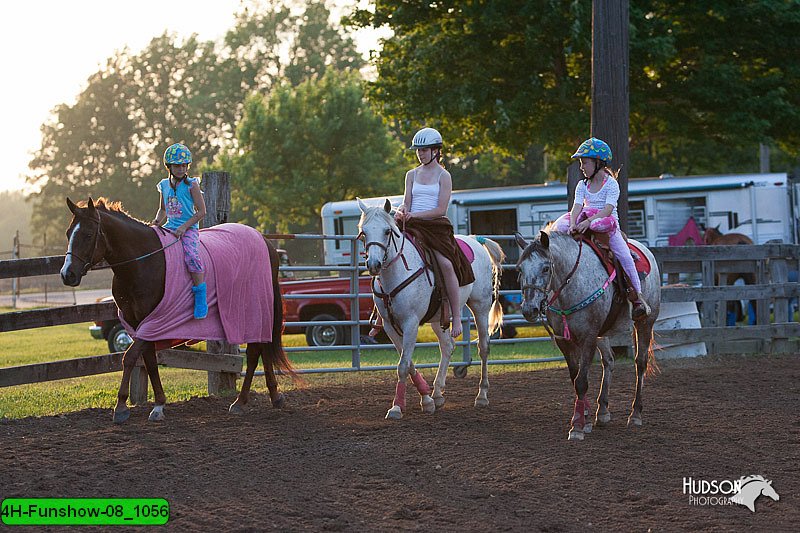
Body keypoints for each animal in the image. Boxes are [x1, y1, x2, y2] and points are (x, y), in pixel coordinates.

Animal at [61, 196, 294, 424]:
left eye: (88, 234)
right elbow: (149, 361)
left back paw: (242, 401)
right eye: (68, 233)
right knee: (262, 350)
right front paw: (158, 404)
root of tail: (264, 241)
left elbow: (129, 357)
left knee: (255, 353)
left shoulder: (152, 323)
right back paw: (270, 397)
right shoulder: (142, 325)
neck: (144, 261)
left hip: (253, 311)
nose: (67, 274)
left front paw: (120, 407)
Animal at [358, 197, 504, 418]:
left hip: (480, 306)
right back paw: (437, 393)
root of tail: (475, 240)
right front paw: (426, 397)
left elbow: (403, 365)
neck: (397, 273)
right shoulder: (391, 326)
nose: (373, 264)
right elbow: (408, 362)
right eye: (364, 232)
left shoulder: (411, 322)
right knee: (448, 346)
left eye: (387, 231)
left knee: (484, 347)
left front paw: (397, 407)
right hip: (438, 317)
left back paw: (482, 395)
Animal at [516, 229, 660, 440]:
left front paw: (577, 426)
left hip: (644, 323)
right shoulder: (565, 341)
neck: (572, 285)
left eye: (545, 268)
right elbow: (575, 376)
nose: (529, 310)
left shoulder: (588, 337)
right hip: (604, 333)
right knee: (609, 361)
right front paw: (584, 415)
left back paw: (635, 414)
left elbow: (581, 381)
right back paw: (603, 412)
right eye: (519, 269)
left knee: (640, 363)